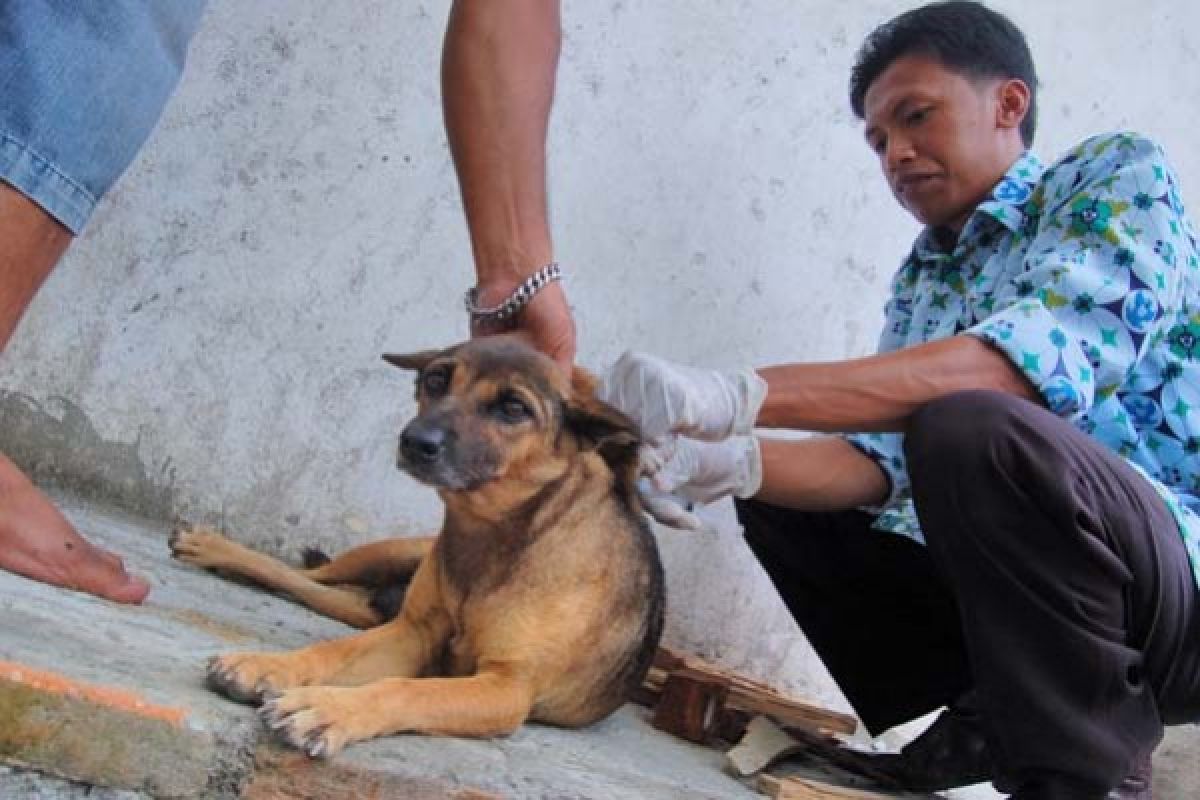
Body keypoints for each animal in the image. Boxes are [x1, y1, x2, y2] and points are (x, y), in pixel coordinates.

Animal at [166, 335, 667, 758]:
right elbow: (333, 650)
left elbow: (407, 688)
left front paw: (327, 709)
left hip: (372, 597)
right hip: (390, 553)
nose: (414, 441)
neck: (496, 532)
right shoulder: (412, 634)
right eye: (436, 380)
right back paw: (213, 550)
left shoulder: (507, 687)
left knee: (319, 591)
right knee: (303, 575)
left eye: (513, 407)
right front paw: (267, 665)